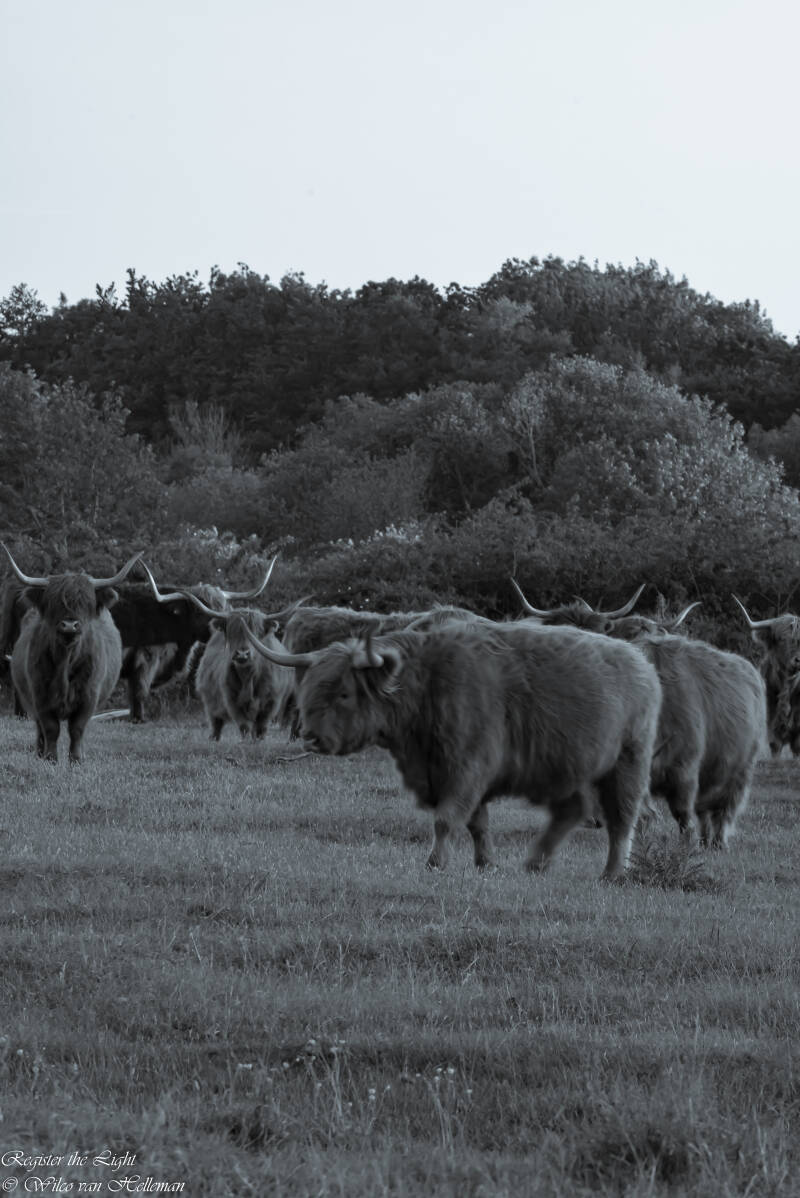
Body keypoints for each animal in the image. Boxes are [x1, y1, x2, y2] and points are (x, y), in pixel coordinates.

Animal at [3, 544, 141, 762]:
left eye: (86, 602)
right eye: (53, 602)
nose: (69, 625)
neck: (66, 660)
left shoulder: (89, 696)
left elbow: (77, 729)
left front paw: (76, 759)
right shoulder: (39, 694)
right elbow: (50, 728)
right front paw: (50, 759)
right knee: (39, 728)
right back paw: (39, 753)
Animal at [176, 589, 294, 740]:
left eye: (256, 633)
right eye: (232, 631)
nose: (242, 654)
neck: (248, 677)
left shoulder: (271, 702)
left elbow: (261, 728)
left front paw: (258, 741)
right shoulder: (231, 701)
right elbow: (244, 726)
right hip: (210, 702)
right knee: (216, 723)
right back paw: (214, 739)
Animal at [238, 619, 663, 880]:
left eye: (344, 693)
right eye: (310, 688)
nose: (311, 737)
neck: (426, 685)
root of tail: (641, 662)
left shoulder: (468, 767)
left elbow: (447, 818)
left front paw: (435, 863)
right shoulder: (448, 772)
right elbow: (477, 823)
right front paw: (486, 864)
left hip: (628, 763)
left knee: (623, 819)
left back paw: (612, 873)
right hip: (568, 767)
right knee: (572, 810)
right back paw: (534, 863)